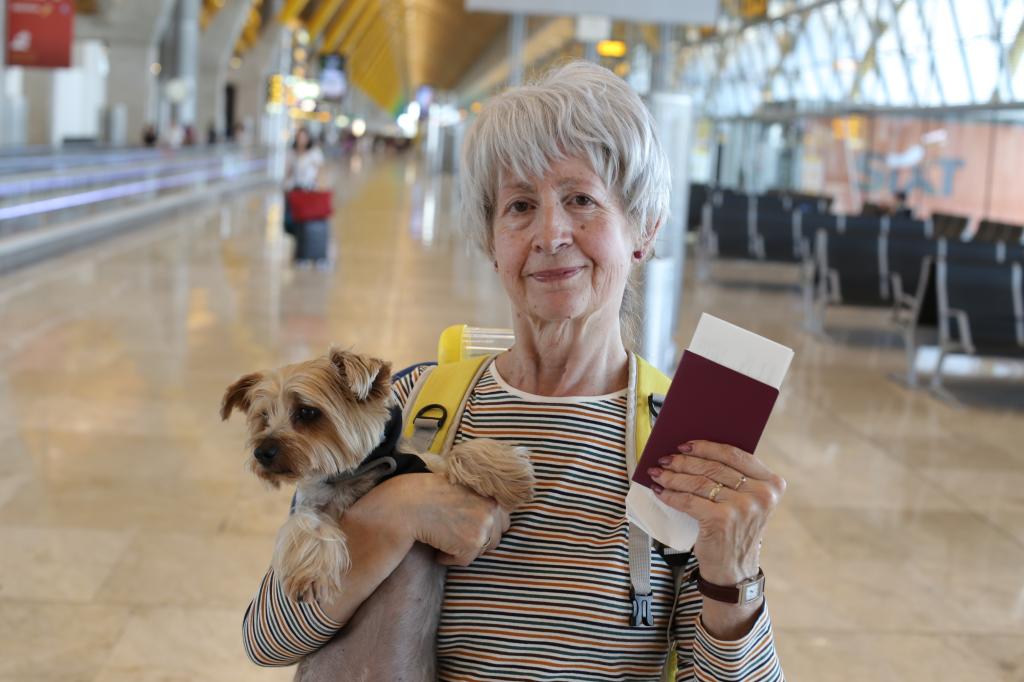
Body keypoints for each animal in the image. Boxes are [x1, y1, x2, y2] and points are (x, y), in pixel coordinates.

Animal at [221, 346, 540, 606]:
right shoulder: (314, 502)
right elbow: (306, 521)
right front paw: (310, 575)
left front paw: (509, 473)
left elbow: (455, 455)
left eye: (307, 412)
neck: (354, 472)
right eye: (263, 417)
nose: (262, 452)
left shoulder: (421, 462)